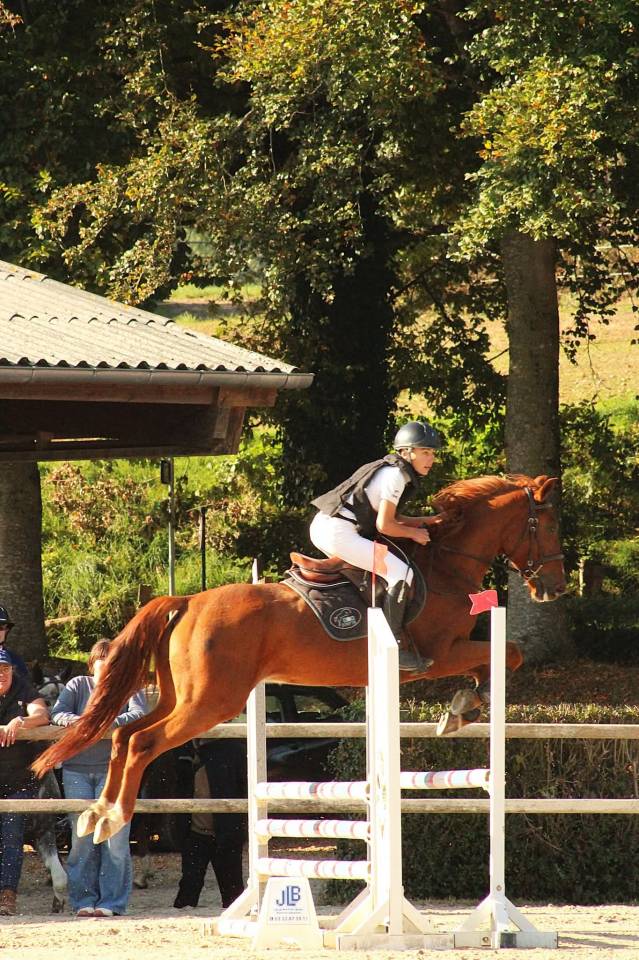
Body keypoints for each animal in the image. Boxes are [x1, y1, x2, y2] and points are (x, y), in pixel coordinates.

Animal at [33, 473, 566, 845]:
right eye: (549, 526)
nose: (554, 588)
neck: (446, 566)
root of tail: (187, 601)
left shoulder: (446, 654)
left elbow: (497, 659)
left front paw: (461, 710)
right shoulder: (438, 654)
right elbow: (508, 654)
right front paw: (465, 708)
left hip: (178, 696)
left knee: (123, 735)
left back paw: (97, 814)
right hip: (211, 702)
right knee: (143, 742)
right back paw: (114, 817)